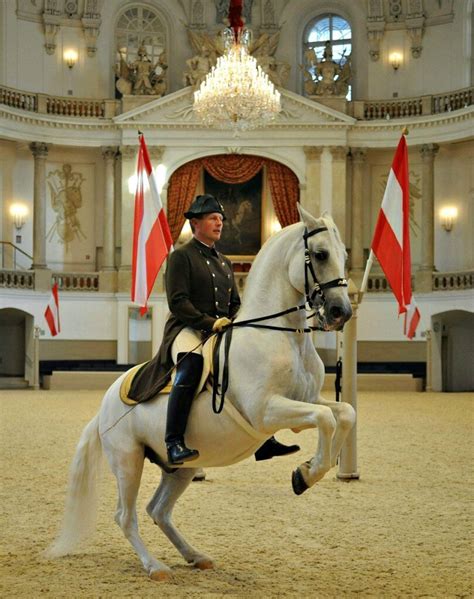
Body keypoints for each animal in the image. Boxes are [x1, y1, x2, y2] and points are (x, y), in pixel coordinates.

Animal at [47, 206, 356, 580]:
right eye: (321, 254)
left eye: (344, 256)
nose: (341, 312)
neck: (279, 335)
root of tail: (103, 409)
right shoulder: (266, 410)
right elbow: (326, 418)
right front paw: (305, 475)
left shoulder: (306, 401)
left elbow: (343, 414)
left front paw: (313, 468)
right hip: (128, 460)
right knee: (126, 516)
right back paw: (156, 566)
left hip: (179, 469)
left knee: (158, 510)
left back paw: (196, 556)